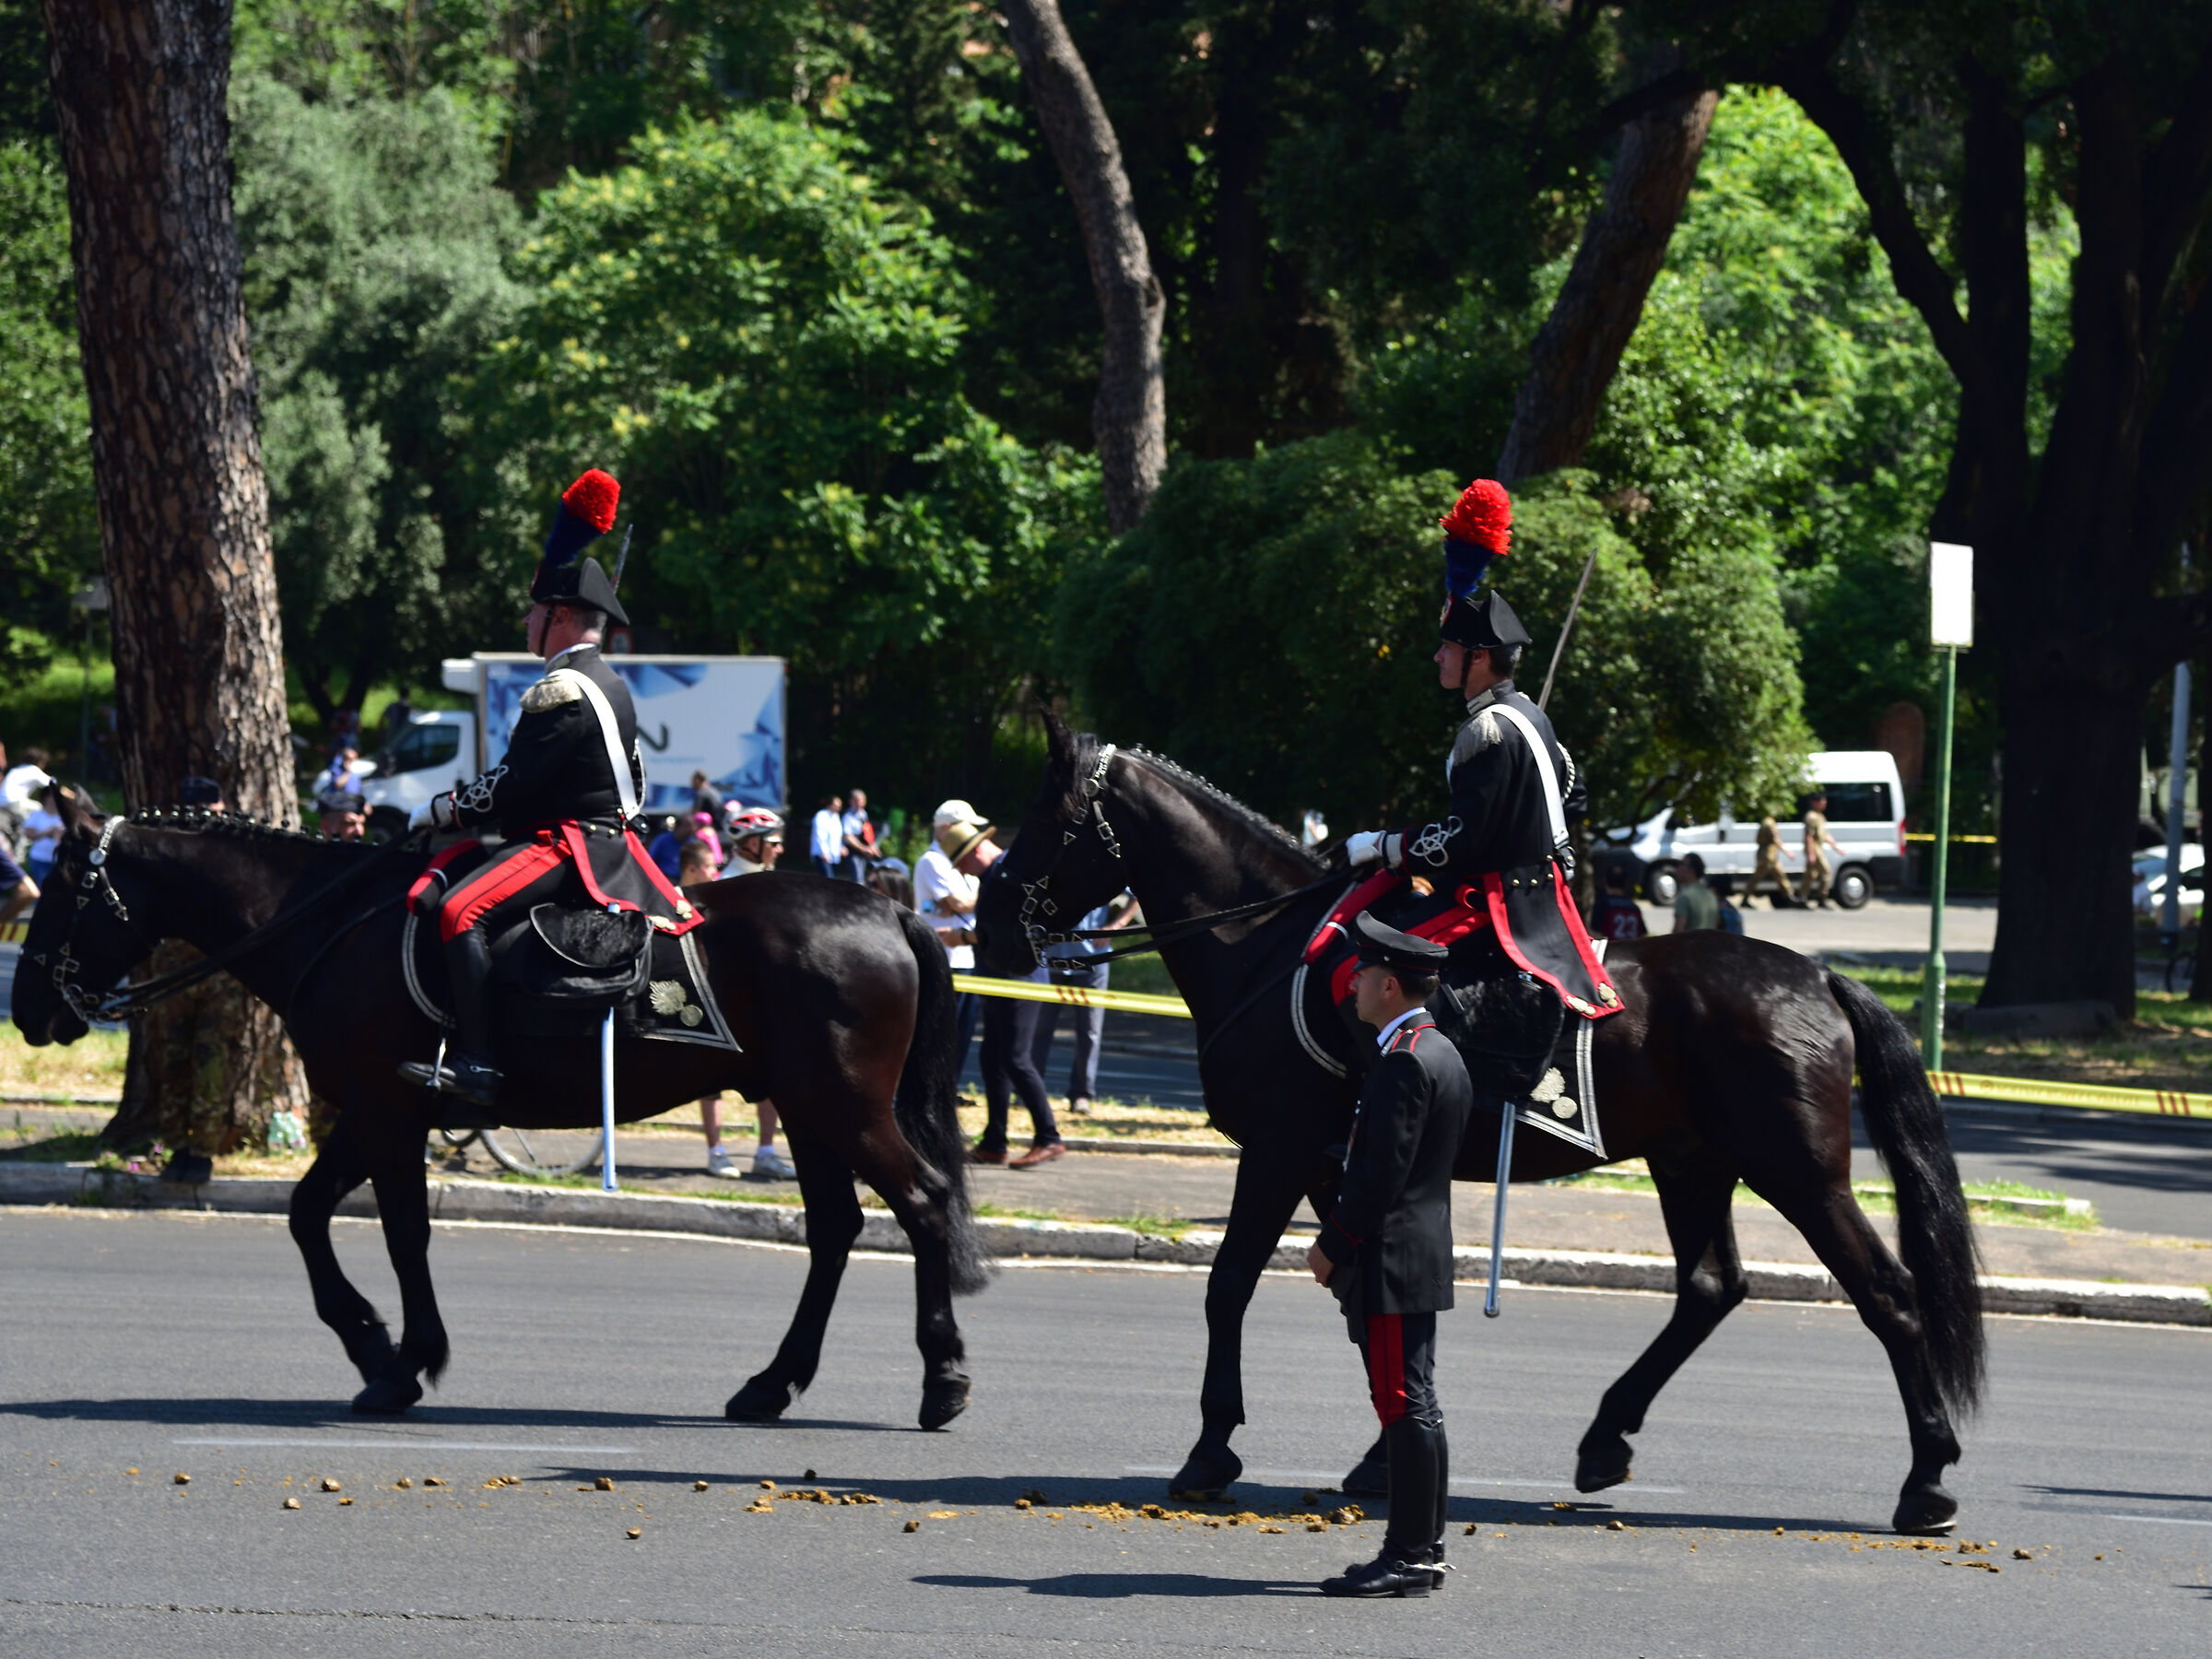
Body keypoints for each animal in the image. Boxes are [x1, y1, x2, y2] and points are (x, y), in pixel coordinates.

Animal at [11, 788, 987, 1429]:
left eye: (58, 887)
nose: (27, 1010)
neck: (327, 923)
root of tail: (890, 912)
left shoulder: (385, 1112)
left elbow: (399, 1232)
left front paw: (401, 1362)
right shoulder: (376, 1110)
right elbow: (307, 1212)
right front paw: (370, 1341)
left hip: (843, 1105)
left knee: (923, 1204)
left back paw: (942, 1379)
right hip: (807, 1109)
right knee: (835, 1231)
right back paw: (770, 1385)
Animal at [973, 717, 1984, 1535]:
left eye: (1049, 817)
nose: (989, 926)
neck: (1262, 949)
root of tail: (1819, 977)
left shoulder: (1278, 1152)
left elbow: (1229, 1288)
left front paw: (1210, 1450)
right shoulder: (1337, 1166)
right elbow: (1362, 1304)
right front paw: (1382, 1456)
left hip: (1797, 1170)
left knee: (1888, 1295)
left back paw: (1928, 1482)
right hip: (1692, 1162)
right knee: (1710, 1287)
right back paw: (1606, 1439)